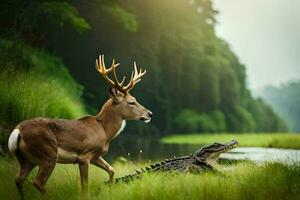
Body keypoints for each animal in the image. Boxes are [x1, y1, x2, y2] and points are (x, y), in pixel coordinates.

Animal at [7, 54, 152, 198]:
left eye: (135, 99)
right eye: (131, 102)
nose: (150, 114)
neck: (104, 131)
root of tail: (18, 131)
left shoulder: (96, 156)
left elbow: (112, 169)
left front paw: (111, 191)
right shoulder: (84, 156)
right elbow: (85, 187)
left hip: (27, 159)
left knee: (18, 179)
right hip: (48, 153)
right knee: (38, 182)